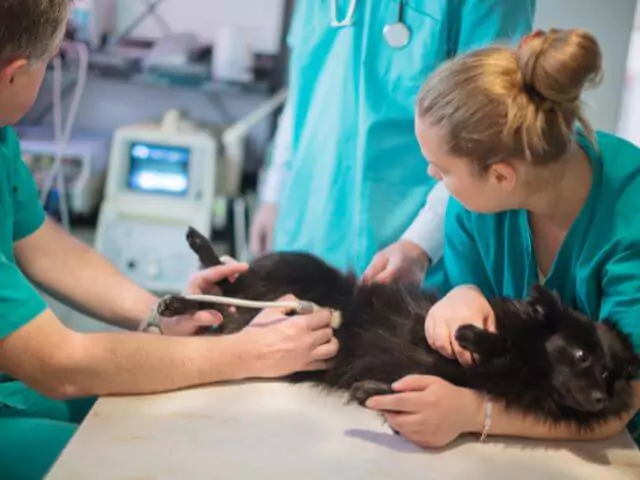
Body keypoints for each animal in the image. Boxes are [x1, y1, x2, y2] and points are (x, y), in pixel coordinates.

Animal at [159, 228, 640, 432]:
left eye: (608, 375)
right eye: (580, 356)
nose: (601, 400)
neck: (529, 372)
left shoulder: (447, 379)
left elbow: (394, 388)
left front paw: (367, 392)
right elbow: (494, 339)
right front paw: (473, 335)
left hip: (245, 325)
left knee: (222, 307)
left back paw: (180, 303)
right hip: (292, 269)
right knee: (227, 281)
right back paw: (189, 267)